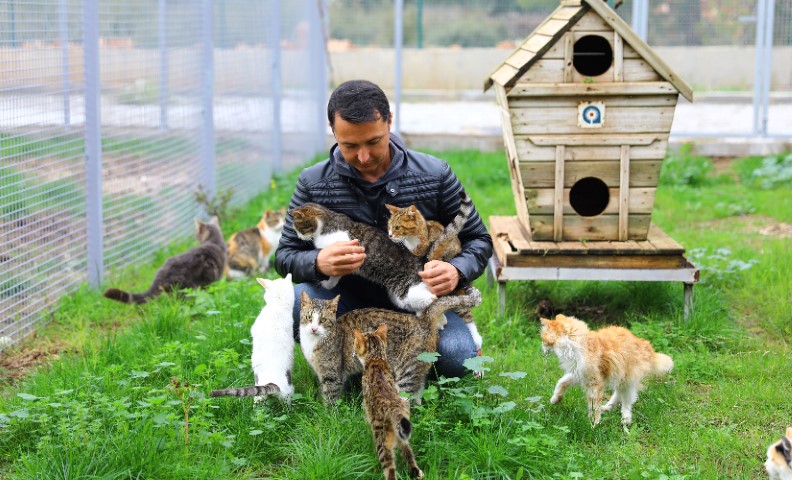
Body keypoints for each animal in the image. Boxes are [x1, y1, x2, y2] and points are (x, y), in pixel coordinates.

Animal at [290, 203, 436, 314]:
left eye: (299, 228)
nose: (299, 237)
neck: (326, 224)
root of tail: (420, 264)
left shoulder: (344, 253)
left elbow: (333, 279)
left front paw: (326, 284)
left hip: (406, 288)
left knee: (431, 297)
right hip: (400, 298)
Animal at [298, 286, 480, 404]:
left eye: (323, 320)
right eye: (308, 318)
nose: (314, 328)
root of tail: (424, 321)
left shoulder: (332, 374)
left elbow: (331, 398)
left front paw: (329, 418)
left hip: (407, 371)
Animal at [354, 322, 424, 480]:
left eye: (354, 343)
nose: (353, 352)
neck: (376, 360)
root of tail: (394, 407)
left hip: (382, 440)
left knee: (390, 470)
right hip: (402, 433)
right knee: (408, 453)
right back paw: (417, 472)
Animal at [540, 314, 676, 426]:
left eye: (543, 339)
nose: (542, 348)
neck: (575, 346)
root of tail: (646, 346)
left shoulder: (594, 381)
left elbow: (593, 405)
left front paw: (594, 424)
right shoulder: (578, 373)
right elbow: (561, 382)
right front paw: (555, 399)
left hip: (628, 379)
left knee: (627, 401)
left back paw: (625, 419)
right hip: (620, 377)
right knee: (618, 393)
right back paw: (607, 407)